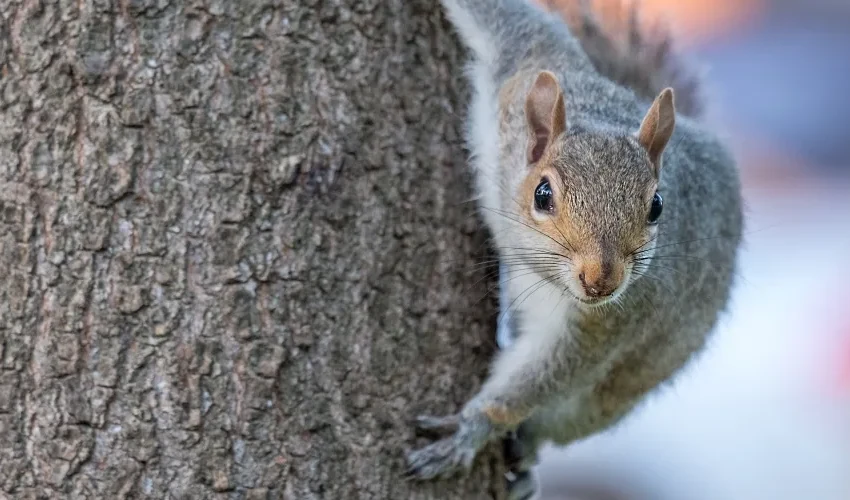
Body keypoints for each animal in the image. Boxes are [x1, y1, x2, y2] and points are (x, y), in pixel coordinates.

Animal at [406, 0, 743, 499]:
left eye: (657, 206)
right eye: (542, 195)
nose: (601, 280)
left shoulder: (613, 319)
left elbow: (550, 372)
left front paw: (473, 428)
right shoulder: (523, 62)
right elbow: (506, 17)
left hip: (607, 400)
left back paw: (525, 455)